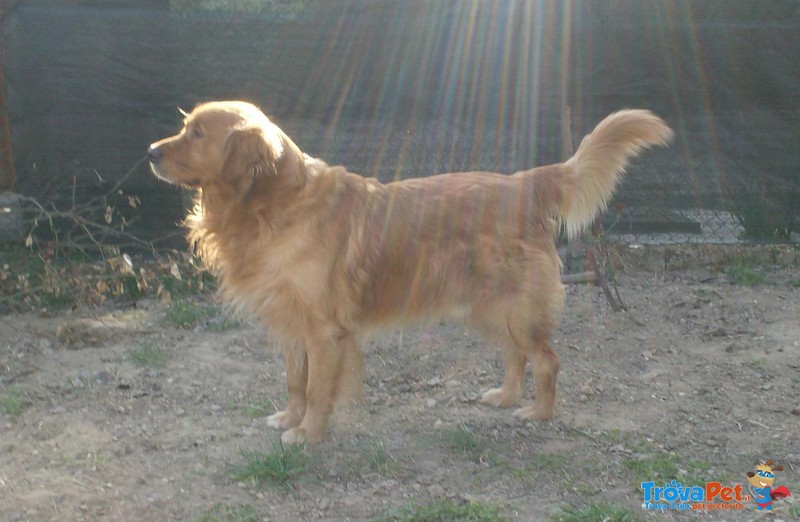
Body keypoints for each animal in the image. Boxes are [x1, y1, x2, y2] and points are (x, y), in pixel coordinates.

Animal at [147, 102, 672, 442]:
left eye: (198, 134)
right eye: (186, 127)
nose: (150, 150)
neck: (273, 205)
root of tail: (524, 183)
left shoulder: (325, 330)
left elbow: (317, 389)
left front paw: (309, 433)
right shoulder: (292, 322)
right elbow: (296, 381)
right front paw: (288, 419)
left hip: (515, 306)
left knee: (547, 359)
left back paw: (537, 414)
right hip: (488, 307)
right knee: (516, 355)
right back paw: (504, 397)